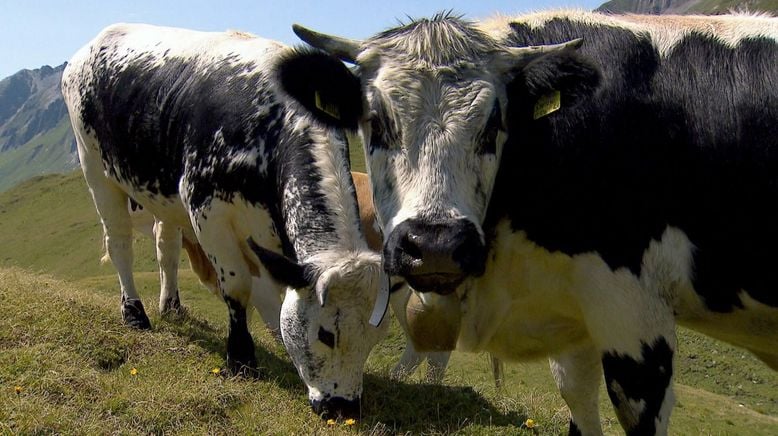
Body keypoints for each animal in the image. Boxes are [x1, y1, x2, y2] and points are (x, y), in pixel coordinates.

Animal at [61, 23, 392, 418]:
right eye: (327, 334)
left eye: (374, 337)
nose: (344, 409)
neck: (268, 128)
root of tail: (103, 35)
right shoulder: (208, 211)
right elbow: (238, 286)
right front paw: (241, 358)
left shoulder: (265, 230)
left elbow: (271, 289)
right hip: (96, 168)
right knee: (119, 244)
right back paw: (135, 314)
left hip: (163, 194)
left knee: (166, 248)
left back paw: (171, 306)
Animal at [282, 11, 776, 436]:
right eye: (376, 121)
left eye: (493, 125)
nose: (436, 246)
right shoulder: (580, 311)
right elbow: (577, 400)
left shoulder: (636, 318)